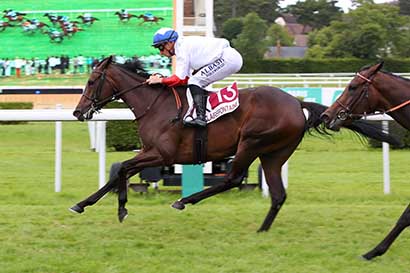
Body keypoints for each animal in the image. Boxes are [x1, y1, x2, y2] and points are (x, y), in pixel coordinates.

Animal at [70, 56, 398, 233]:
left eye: (91, 82)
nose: (77, 112)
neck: (155, 105)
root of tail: (297, 103)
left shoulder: (160, 153)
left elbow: (122, 168)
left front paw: (102, 206)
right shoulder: (152, 154)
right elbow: (121, 170)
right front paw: (101, 206)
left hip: (251, 142)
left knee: (233, 178)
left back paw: (184, 201)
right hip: (274, 154)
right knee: (277, 193)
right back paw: (262, 229)